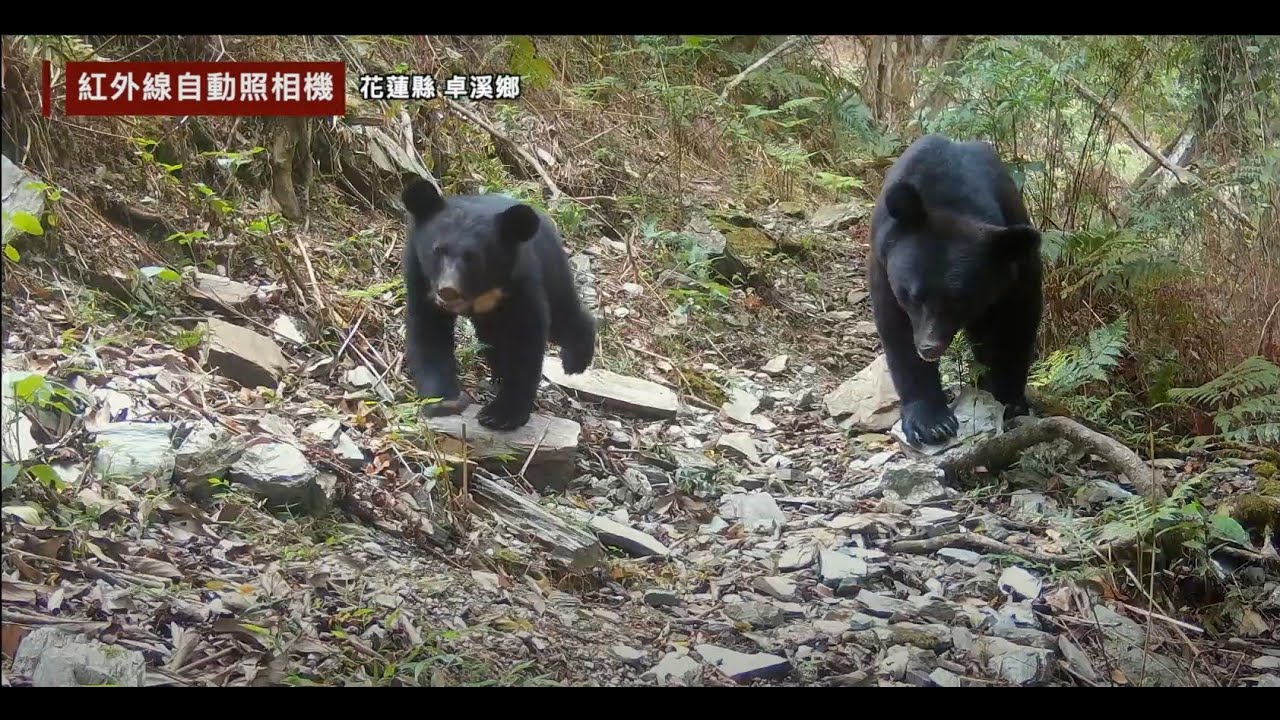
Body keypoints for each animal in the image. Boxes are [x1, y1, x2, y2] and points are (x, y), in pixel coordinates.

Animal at [399, 177, 596, 431]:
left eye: (473, 257)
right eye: (437, 250)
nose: (447, 290)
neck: (482, 290)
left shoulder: (521, 281)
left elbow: (527, 341)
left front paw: (500, 415)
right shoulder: (422, 281)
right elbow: (428, 333)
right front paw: (443, 401)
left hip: (552, 267)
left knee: (563, 316)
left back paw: (575, 361)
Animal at [866, 133, 1043, 447]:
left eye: (960, 302)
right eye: (912, 295)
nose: (929, 347)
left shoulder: (1014, 270)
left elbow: (1016, 323)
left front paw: (1009, 399)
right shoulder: (883, 263)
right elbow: (897, 331)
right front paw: (932, 422)